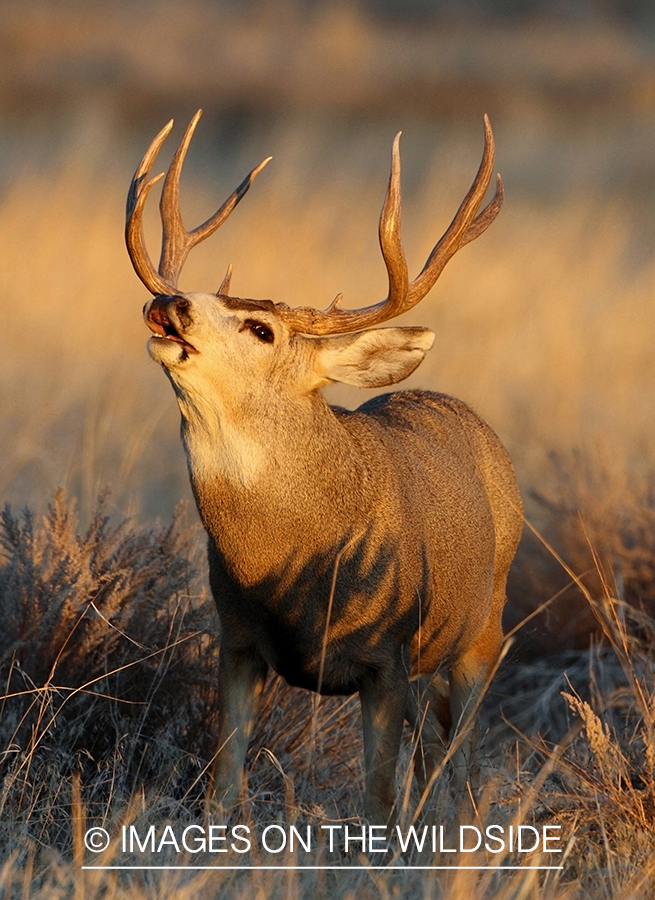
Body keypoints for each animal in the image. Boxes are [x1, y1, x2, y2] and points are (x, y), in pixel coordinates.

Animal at [124, 109, 524, 828]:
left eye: (261, 330)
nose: (170, 303)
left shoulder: (385, 658)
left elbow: (377, 801)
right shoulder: (234, 637)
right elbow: (222, 784)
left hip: (485, 628)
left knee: (465, 761)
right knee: (437, 753)